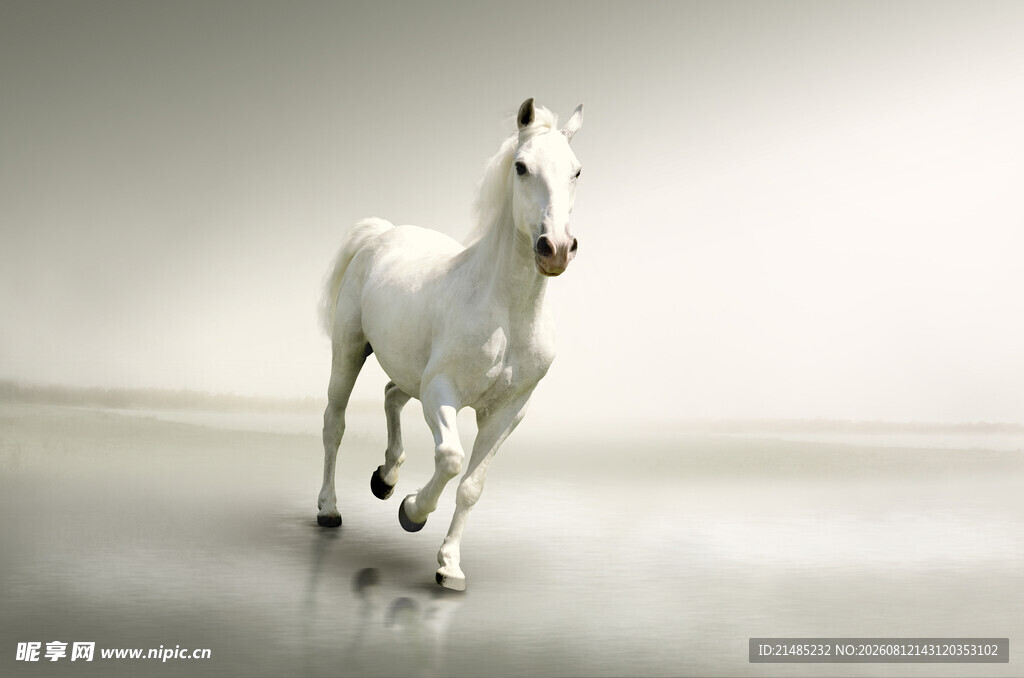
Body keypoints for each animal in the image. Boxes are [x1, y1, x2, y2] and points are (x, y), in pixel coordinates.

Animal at [316, 98, 584, 591]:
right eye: (521, 166)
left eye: (576, 170)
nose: (555, 248)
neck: (506, 313)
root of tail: (382, 233)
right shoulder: (442, 393)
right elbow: (451, 458)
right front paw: (412, 512)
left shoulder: (508, 412)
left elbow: (472, 486)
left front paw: (450, 567)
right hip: (348, 351)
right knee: (334, 423)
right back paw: (329, 508)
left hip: (409, 371)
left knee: (391, 394)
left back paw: (385, 478)